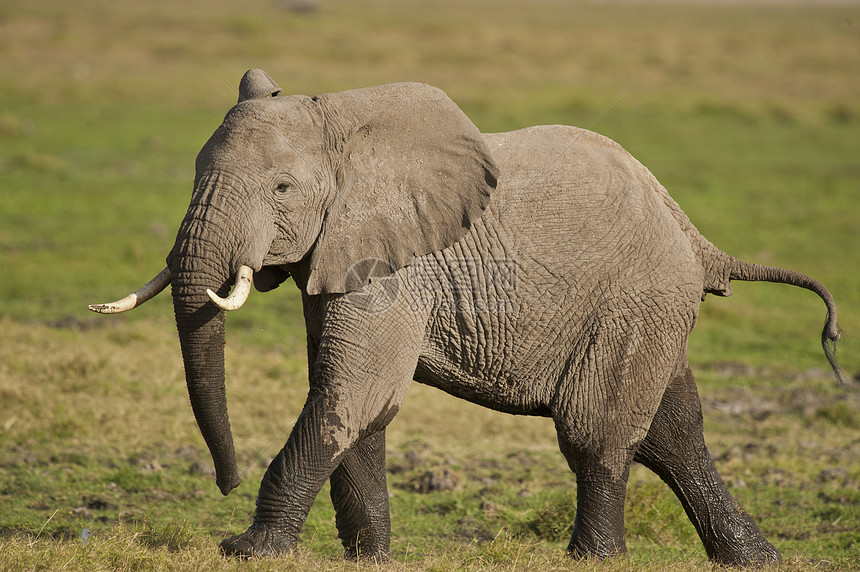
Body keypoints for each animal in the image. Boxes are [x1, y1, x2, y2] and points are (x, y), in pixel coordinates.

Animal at [90, 69, 844, 564]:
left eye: (281, 189)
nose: (225, 481)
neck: (343, 123)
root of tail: (694, 234)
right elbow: (359, 403)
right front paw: (371, 559)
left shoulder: (396, 267)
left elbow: (349, 390)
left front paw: (248, 550)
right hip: (652, 306)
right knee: (674, 431)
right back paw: (755, 559)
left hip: (636, 300)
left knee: (597, 431)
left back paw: (593, 559)